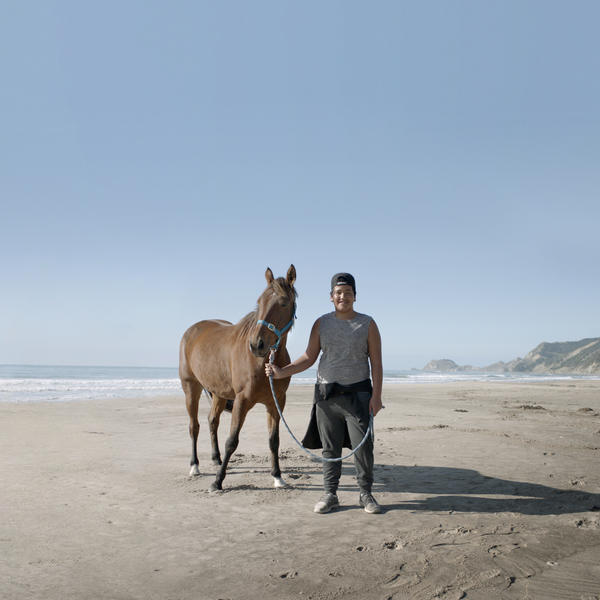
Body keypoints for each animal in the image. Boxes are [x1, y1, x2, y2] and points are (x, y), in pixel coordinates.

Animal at [179, 268, 298, 492]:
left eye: (284, 303)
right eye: (259, 302)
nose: (257, 345)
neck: (262, 362)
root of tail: (191, 330)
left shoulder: (276, 402)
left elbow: (273, 440)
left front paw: (278, 477)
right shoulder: (242, 401)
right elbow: (232, 441)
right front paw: (217, 482)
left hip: (218, 393)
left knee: (212, 421)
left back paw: (216, 459)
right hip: (191, 388)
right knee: (194, 426)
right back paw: (194, 466)